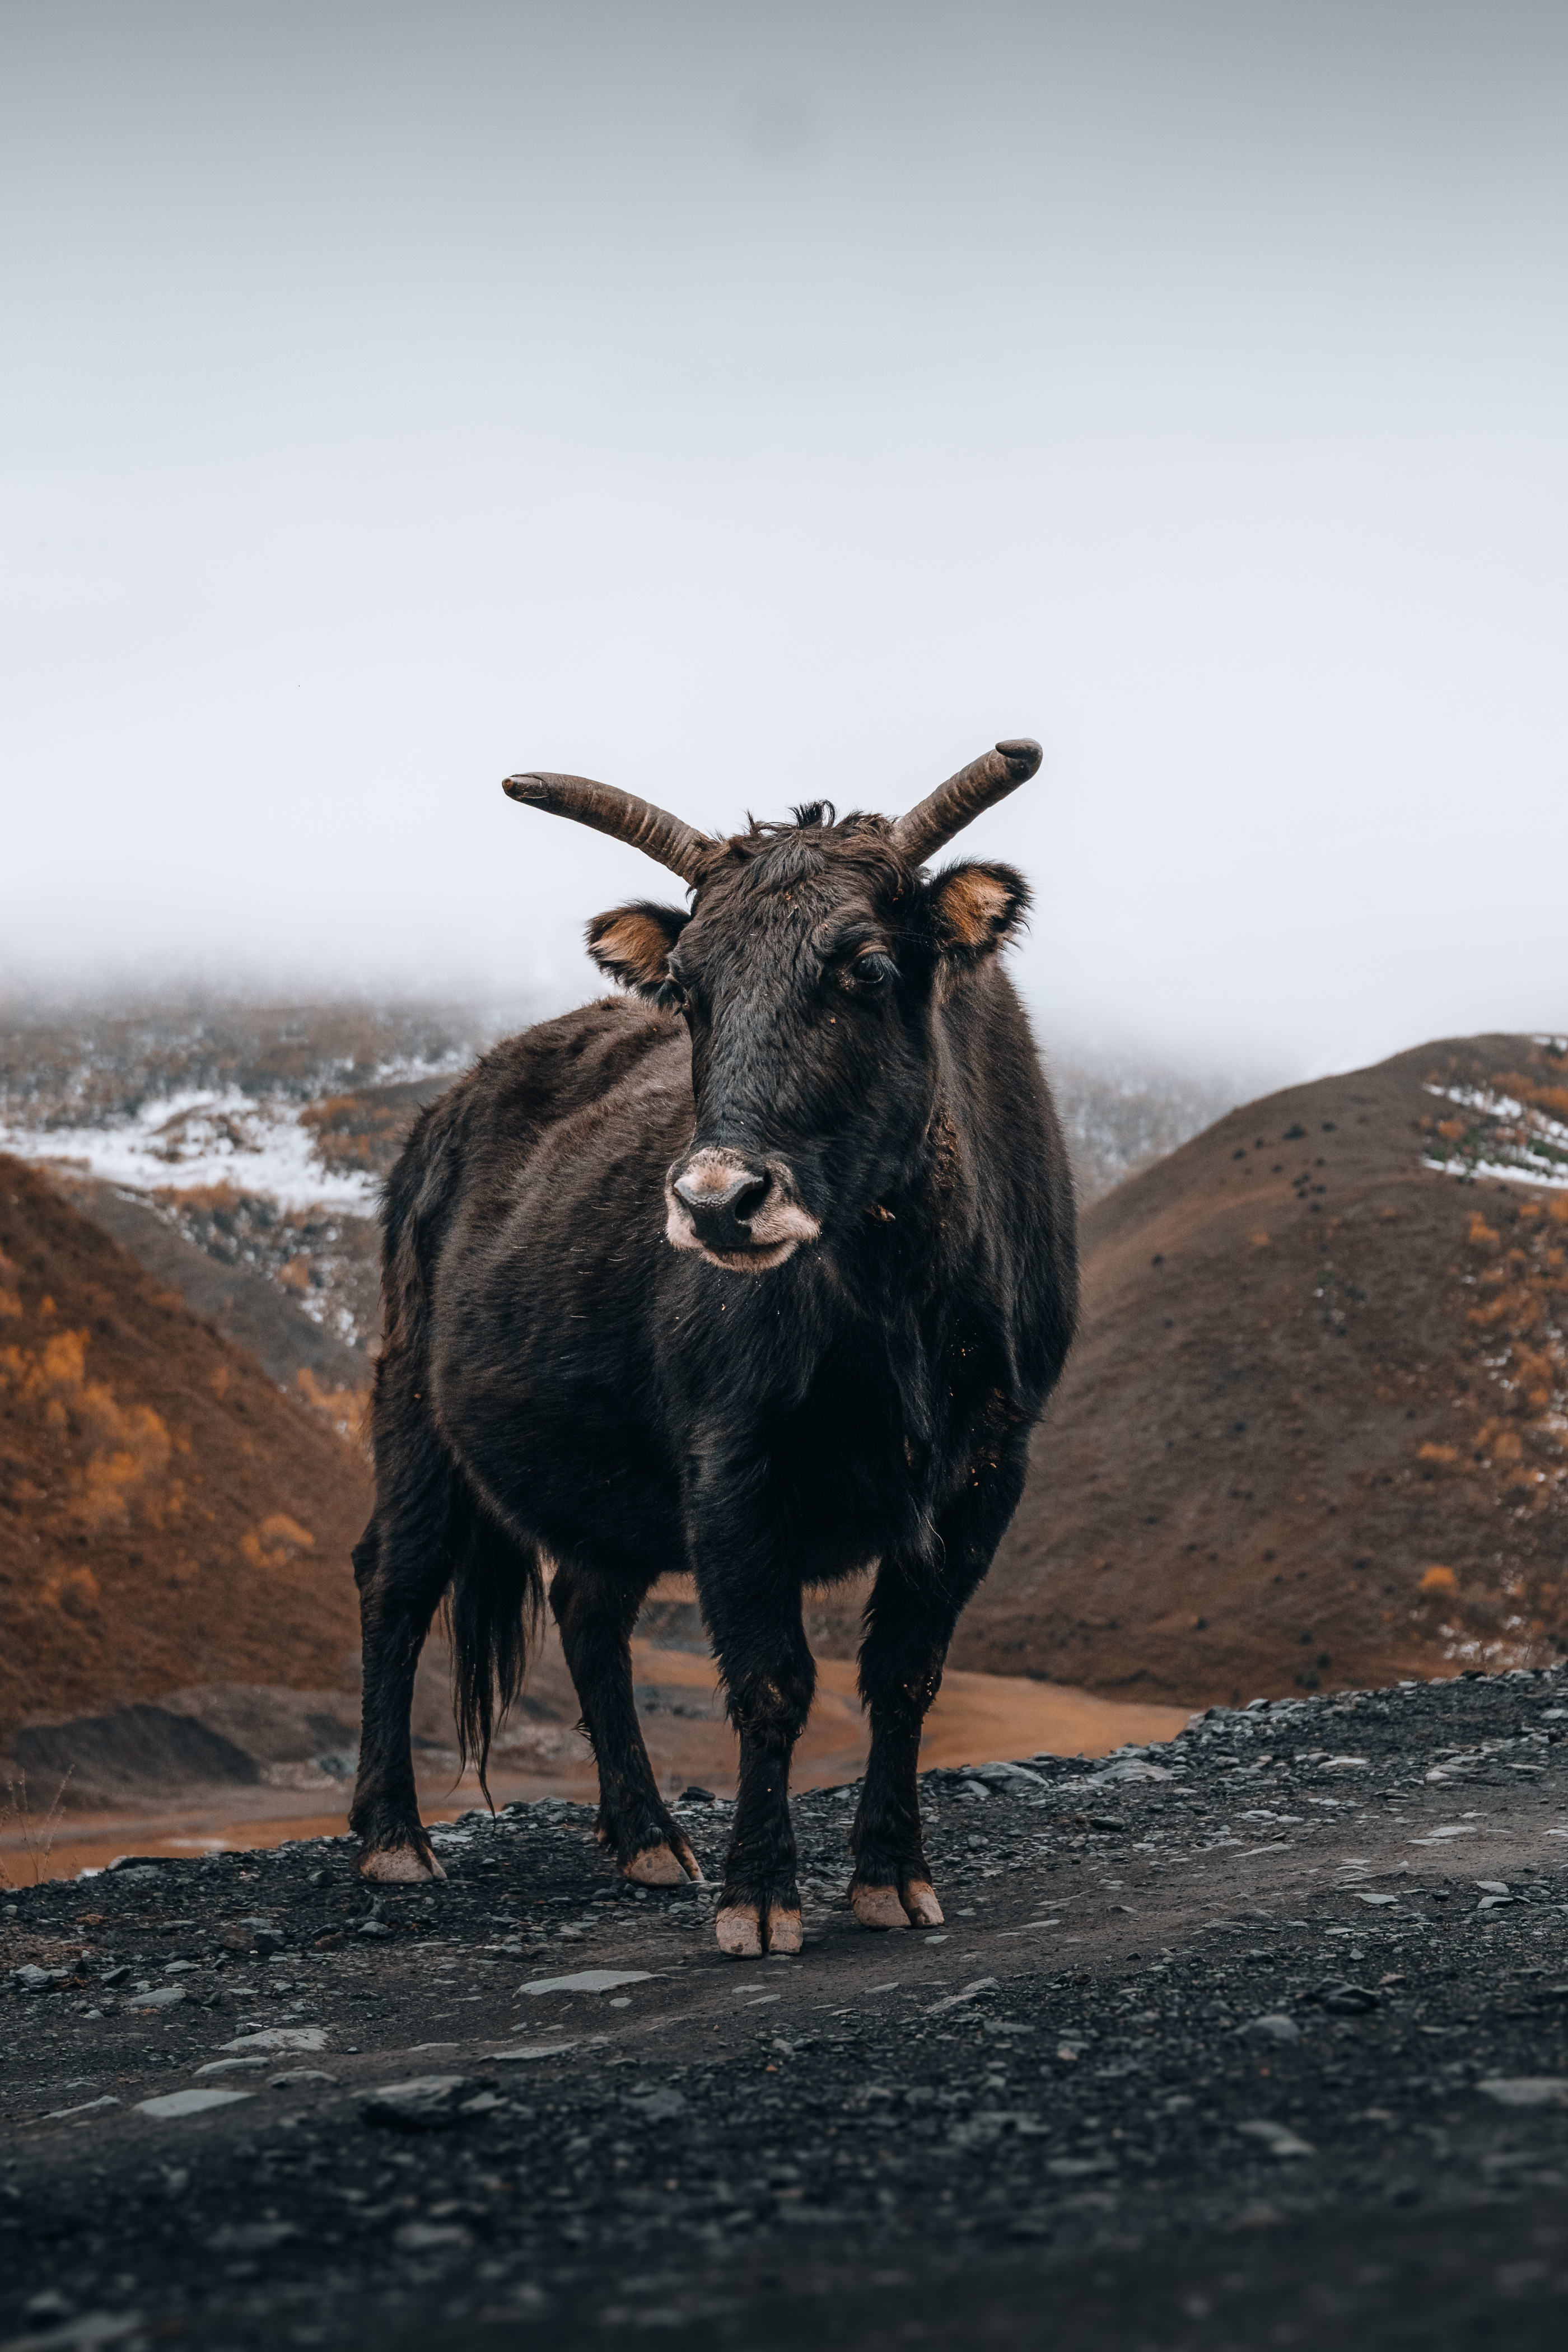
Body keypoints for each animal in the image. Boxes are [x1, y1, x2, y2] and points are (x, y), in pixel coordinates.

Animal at [348, 738, 1078, 1957]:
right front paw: (759, 1900)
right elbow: (772, 1679)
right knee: (395, 1583)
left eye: (868, 968)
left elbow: (905, 1673)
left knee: (589, 1613)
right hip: (414, 1409)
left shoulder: (989, 1467)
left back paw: (647, 1839)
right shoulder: (730, 1457)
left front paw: (892, 1879)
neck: (892, 1290)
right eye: (689, 988)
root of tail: (454, 1101)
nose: (714, 1201)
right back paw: (393, 1840)